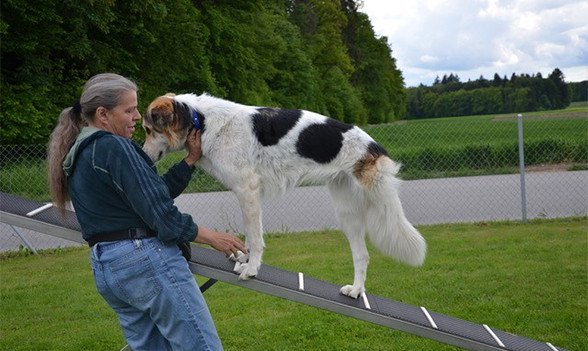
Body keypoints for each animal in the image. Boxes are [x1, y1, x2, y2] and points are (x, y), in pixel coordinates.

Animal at [142, 92, 428, 298]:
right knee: (362, 255)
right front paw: (244, 261)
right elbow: (249, 238)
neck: (200, 120)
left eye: (146, 129)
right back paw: (356, 291)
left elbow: (255, 239)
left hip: (381, 208)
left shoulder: (247, 191)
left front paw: (251, 269)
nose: (142, 156)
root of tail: (374, 147)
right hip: (348, 216)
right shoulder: (246, 196)